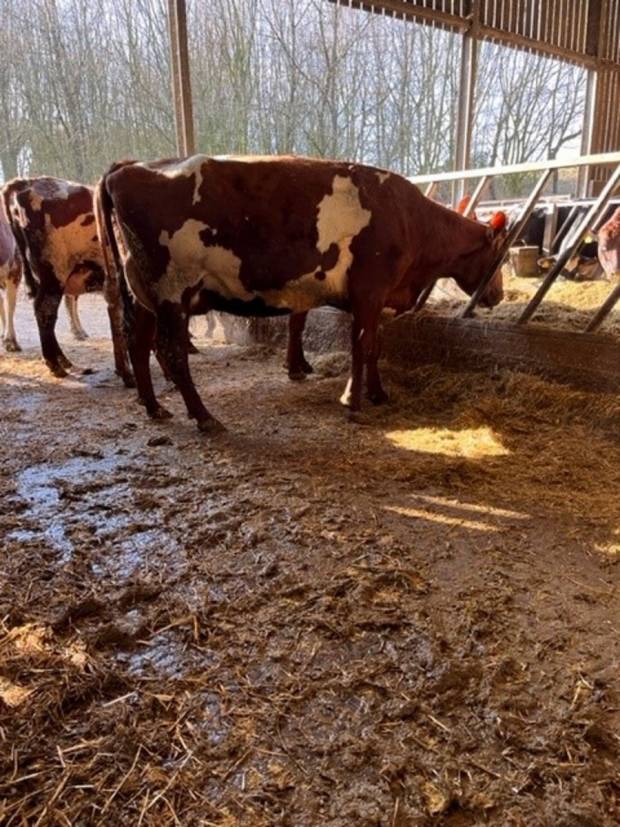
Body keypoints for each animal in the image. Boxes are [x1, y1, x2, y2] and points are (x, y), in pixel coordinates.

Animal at [95, 153, 504, 434]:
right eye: (499, 256)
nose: (497, 296)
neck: (409, 219)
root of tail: (129, 166)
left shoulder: (377, 299)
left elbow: (375, 346)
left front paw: (377, 393)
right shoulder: (369, 291)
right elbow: (363, 346)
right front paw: (353, 401)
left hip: (145, 298)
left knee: (139, 344)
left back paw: (153, 407)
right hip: (172, 292)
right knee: (172, 353)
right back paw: (204, 417)